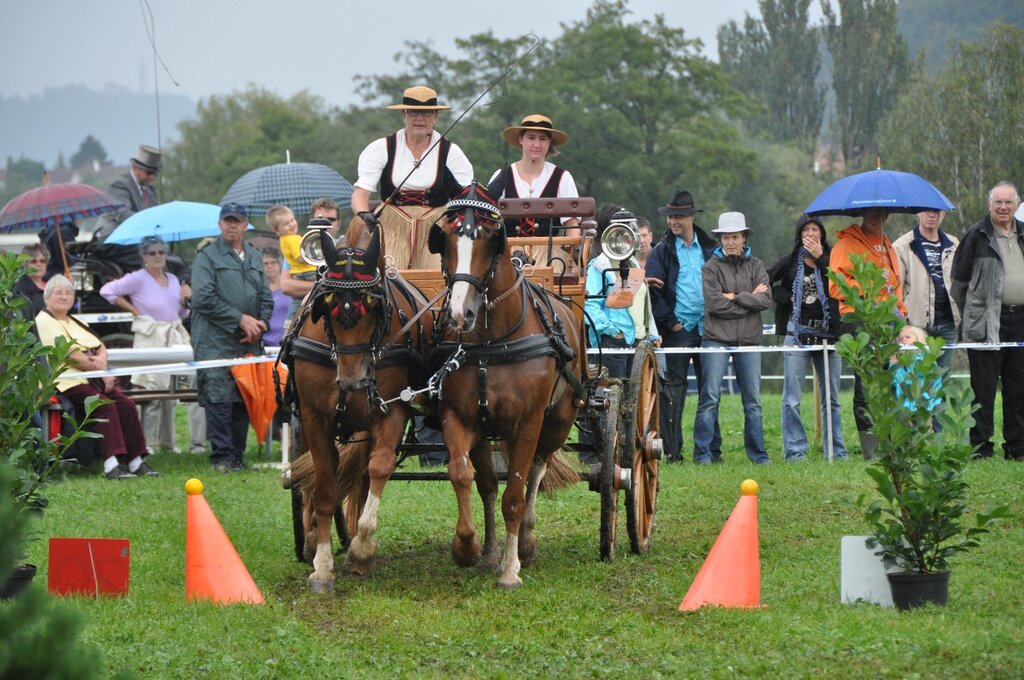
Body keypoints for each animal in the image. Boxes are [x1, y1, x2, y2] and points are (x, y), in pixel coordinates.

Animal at [286, 222, 430, 589]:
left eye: (373, 305)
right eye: (328, 306)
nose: (352, 381)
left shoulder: (390, 410)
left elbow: (378, 469)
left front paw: (362, 549)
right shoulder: (314, 418)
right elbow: (324, 485)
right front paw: (322, 565)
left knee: (362, 476)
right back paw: (311, 537)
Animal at [423, 184, 585, 589]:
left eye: (488, 239)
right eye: (447, 240)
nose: (460, 314)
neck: (492, 342)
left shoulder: (528, 423)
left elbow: (515, 493)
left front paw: (511, 570)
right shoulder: (458, 418)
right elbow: (464, 475)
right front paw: (467, 548)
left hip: (557, 421)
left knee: (537, 470)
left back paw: (524, 542)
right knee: (490, 484)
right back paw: (490, 552)